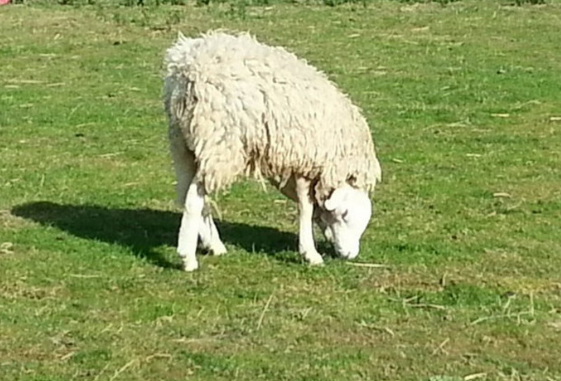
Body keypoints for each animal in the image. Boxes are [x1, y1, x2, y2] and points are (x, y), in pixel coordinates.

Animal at [162, 31, 380, 272]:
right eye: (345, 215)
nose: (351, 255)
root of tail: (186, 69)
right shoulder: (305, 161)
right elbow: (306, 207)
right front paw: (310, 253)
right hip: (221, 144)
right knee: (194, 199)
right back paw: (188, 257)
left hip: (183, 144)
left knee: (188, 193)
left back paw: (214, 244)